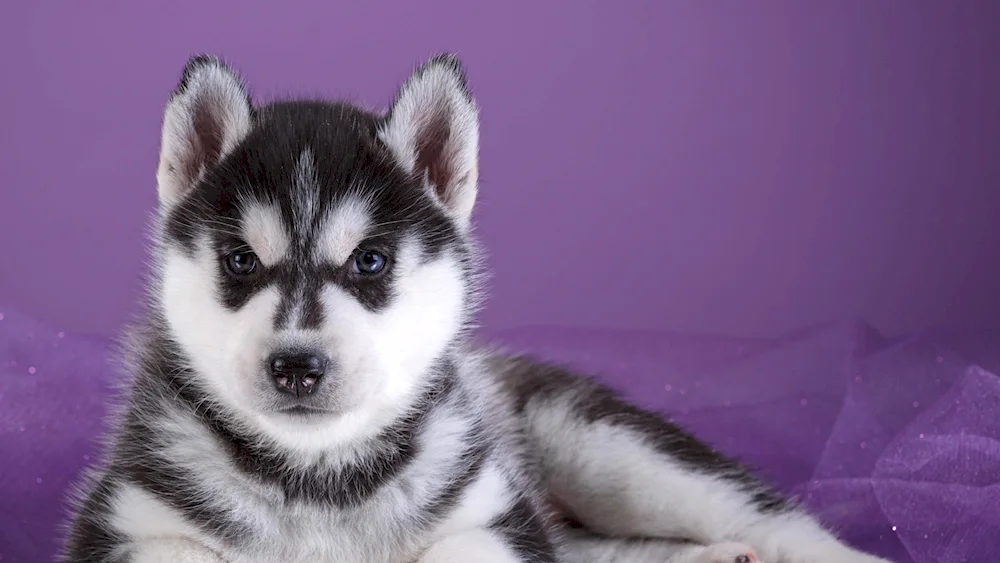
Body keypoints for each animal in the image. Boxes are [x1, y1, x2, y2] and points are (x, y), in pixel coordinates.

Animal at [64, 55, 892, 563]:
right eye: (240, 261)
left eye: (371, 261)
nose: (296, 365)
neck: (319, 479)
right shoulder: (124, 524)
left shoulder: (493, 518)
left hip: (605, 449)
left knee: (770, 518)